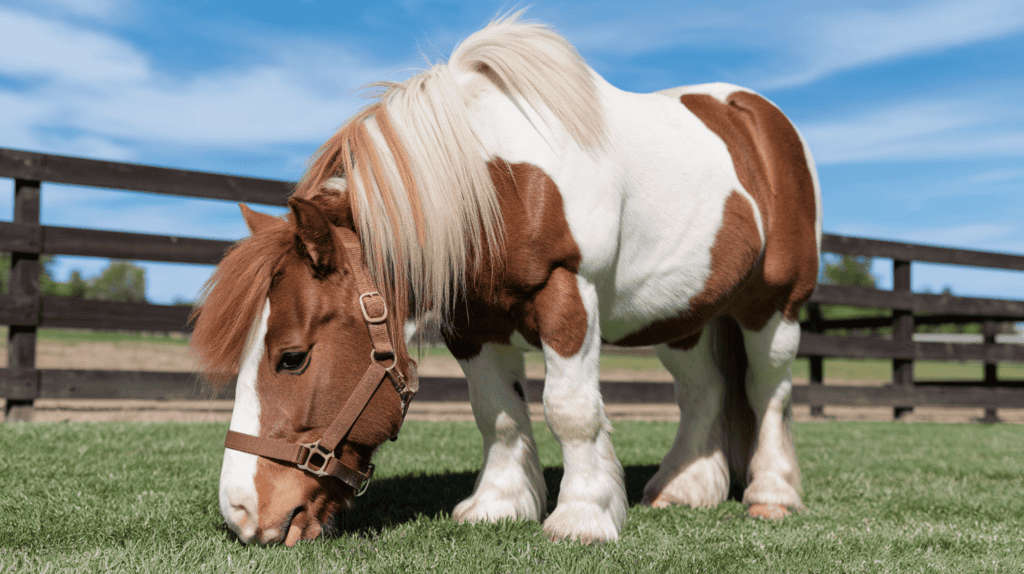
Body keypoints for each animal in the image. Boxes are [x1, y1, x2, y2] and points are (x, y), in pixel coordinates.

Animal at [190, 13, 820, 546]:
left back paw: (771, 496)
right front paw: (500, 505)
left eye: (292, 358)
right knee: (703, 392)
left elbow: (570, 410)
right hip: (681, 317)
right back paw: (685, 489)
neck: (497, 187)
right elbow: (496, 413)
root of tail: (760, 119)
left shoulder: (568, 296)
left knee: (769, 390)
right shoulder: (473, 324)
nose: (241, 512)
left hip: (773, 307)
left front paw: (582, 518)